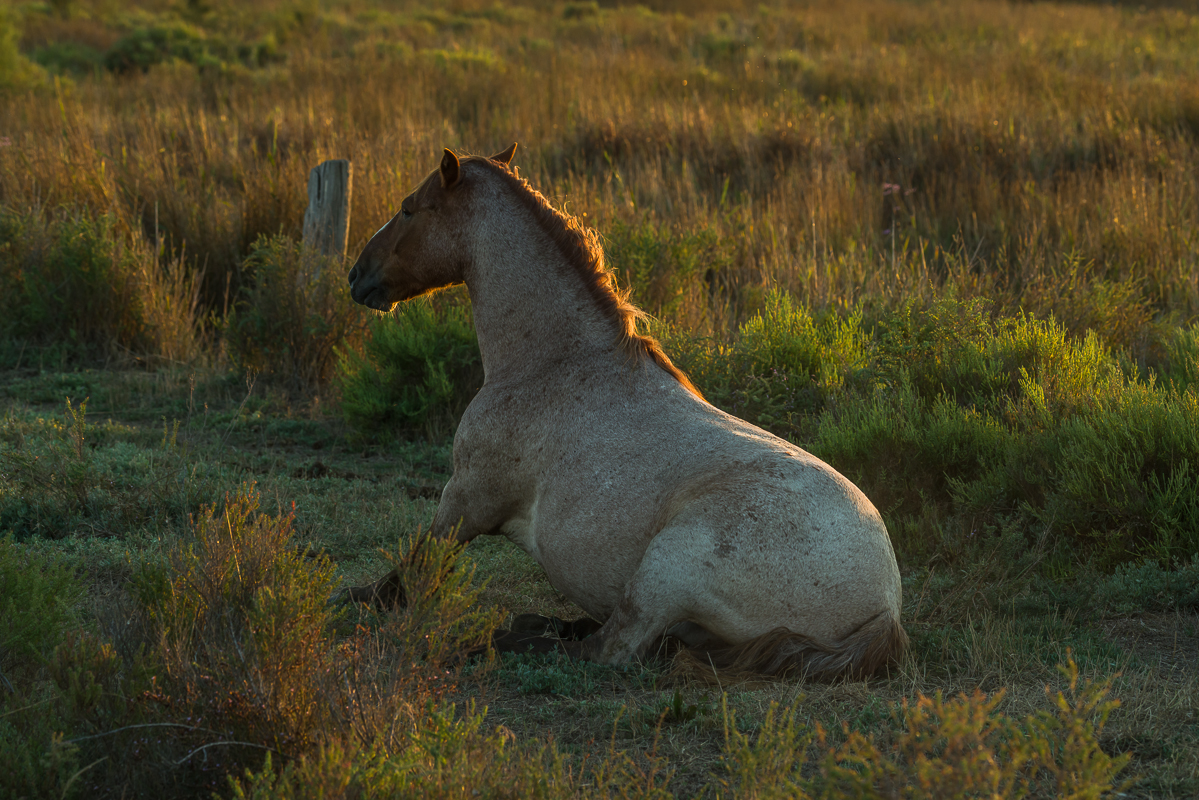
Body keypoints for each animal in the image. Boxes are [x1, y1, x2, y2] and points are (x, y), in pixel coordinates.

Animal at [342, 145, 901, 681]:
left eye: (408, 209)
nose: (356, 275)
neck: (554, 362)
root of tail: (886, 609)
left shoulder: (466, 498)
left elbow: (405, 574)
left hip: (667, 569)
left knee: (607, 649)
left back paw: (493, 643)